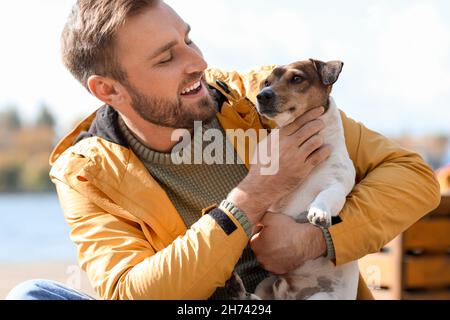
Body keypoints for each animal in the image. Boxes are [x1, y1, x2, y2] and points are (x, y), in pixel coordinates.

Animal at [227, 58, 360, 300]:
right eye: (266, 82)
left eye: (297, 78)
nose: (262, 96)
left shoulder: (337, 185)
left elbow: (325, 195)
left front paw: (318, 212)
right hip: (267, 284)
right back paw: (239, 291)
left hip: (320, 297)